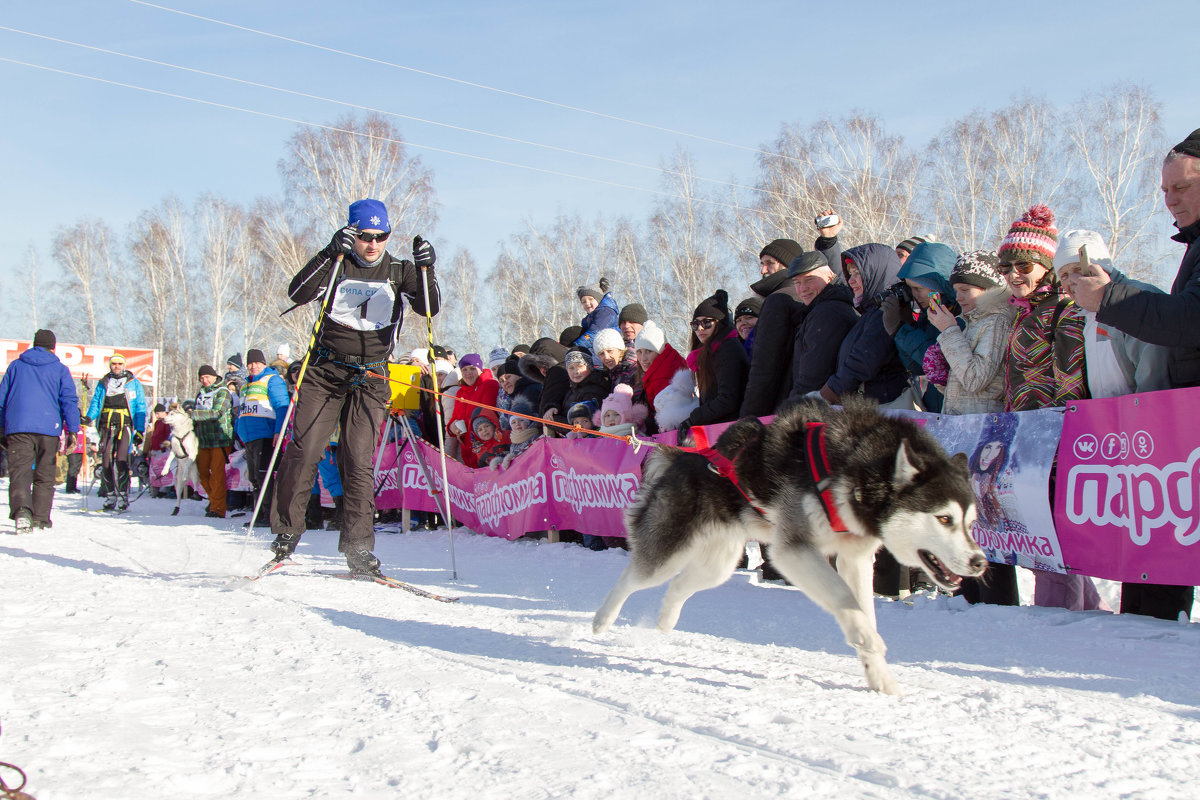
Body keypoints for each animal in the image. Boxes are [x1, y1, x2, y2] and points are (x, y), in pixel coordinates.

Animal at [592, 400, 984, 695]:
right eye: (944, 518)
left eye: (971, 522)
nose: (979, 562)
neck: (857, 470)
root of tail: (683, 456)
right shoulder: (794, 550)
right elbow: (844, 599)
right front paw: (867, 639)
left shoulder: (855, 557)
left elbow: (859, 604)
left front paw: (879, 676)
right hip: (668, 551)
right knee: (632, 577)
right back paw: (601, 620)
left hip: (718, 564)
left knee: (678, 587)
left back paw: (665, 619)